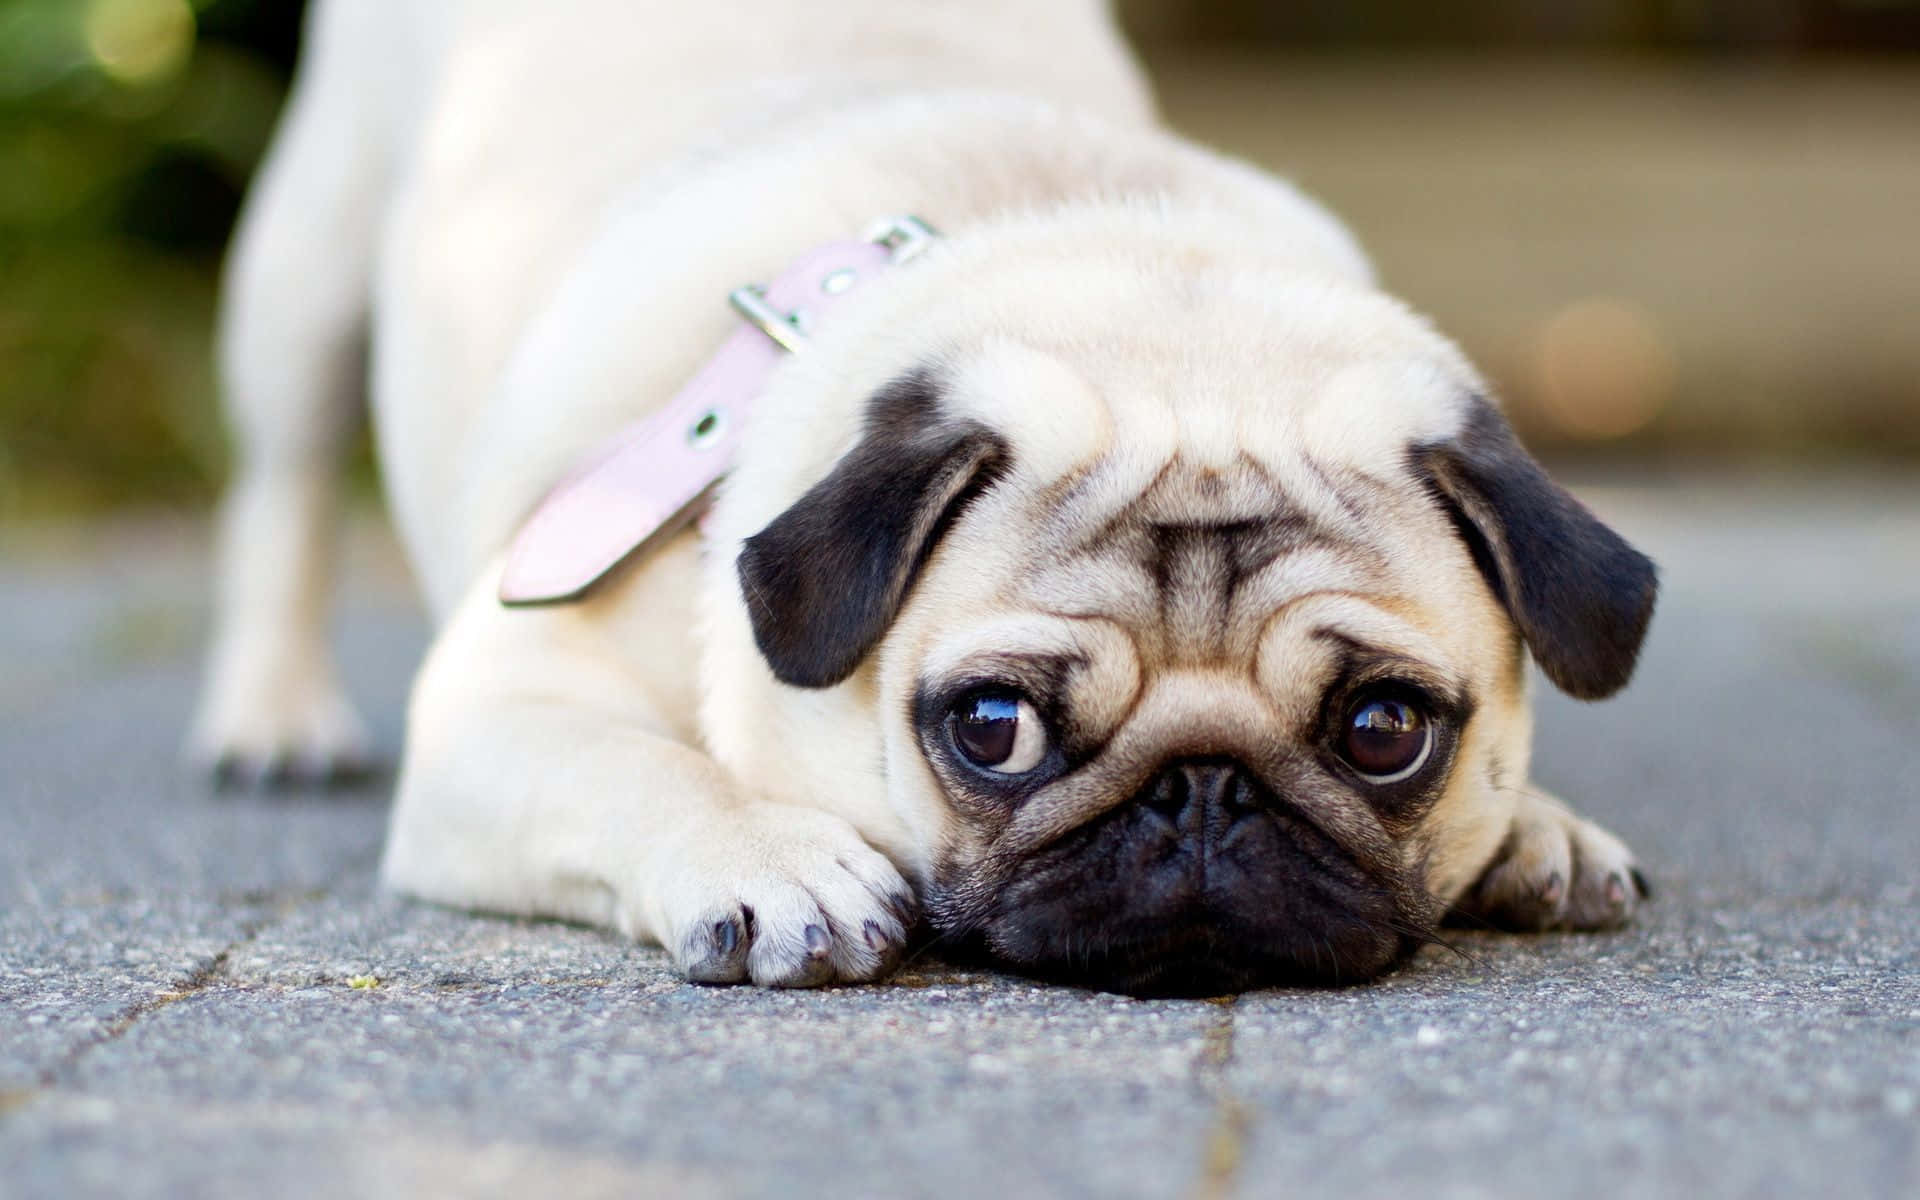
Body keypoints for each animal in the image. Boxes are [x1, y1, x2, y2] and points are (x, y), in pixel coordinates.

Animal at [202, 0, 1658, 990]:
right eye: (994, 729)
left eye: (1383, 730)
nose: (1204, 792)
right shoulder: (496, 712)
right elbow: (637, 767)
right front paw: (768, 854)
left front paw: (1538, 827)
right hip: (307, 273)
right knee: (283, 489)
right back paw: (271, 715)